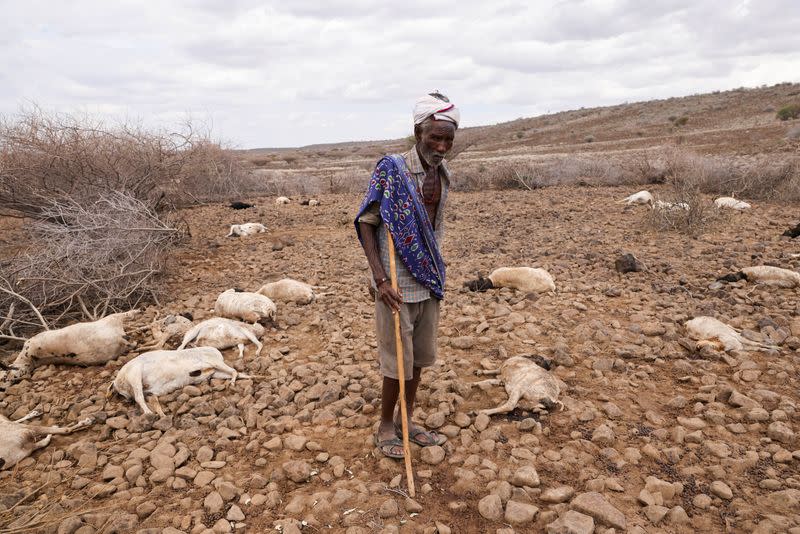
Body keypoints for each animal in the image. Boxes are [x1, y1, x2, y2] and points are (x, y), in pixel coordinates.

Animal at [1, 310, 141, 390]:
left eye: (3, 377)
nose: (3, 388)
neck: (29, 358)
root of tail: (118, 337)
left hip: (110, 319)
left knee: (124, 316)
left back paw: (136, 312)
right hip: (112, 324)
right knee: (127, 334)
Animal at [109, 348, 252, 418]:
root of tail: (118, 381)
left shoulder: (215, 370)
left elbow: (235, 373)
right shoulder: (214, 363)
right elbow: (234, 371)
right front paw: (233, 383)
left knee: (150, 400)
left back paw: (161, 415)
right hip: (135, 376)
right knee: (139, 398)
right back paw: (149, 413)